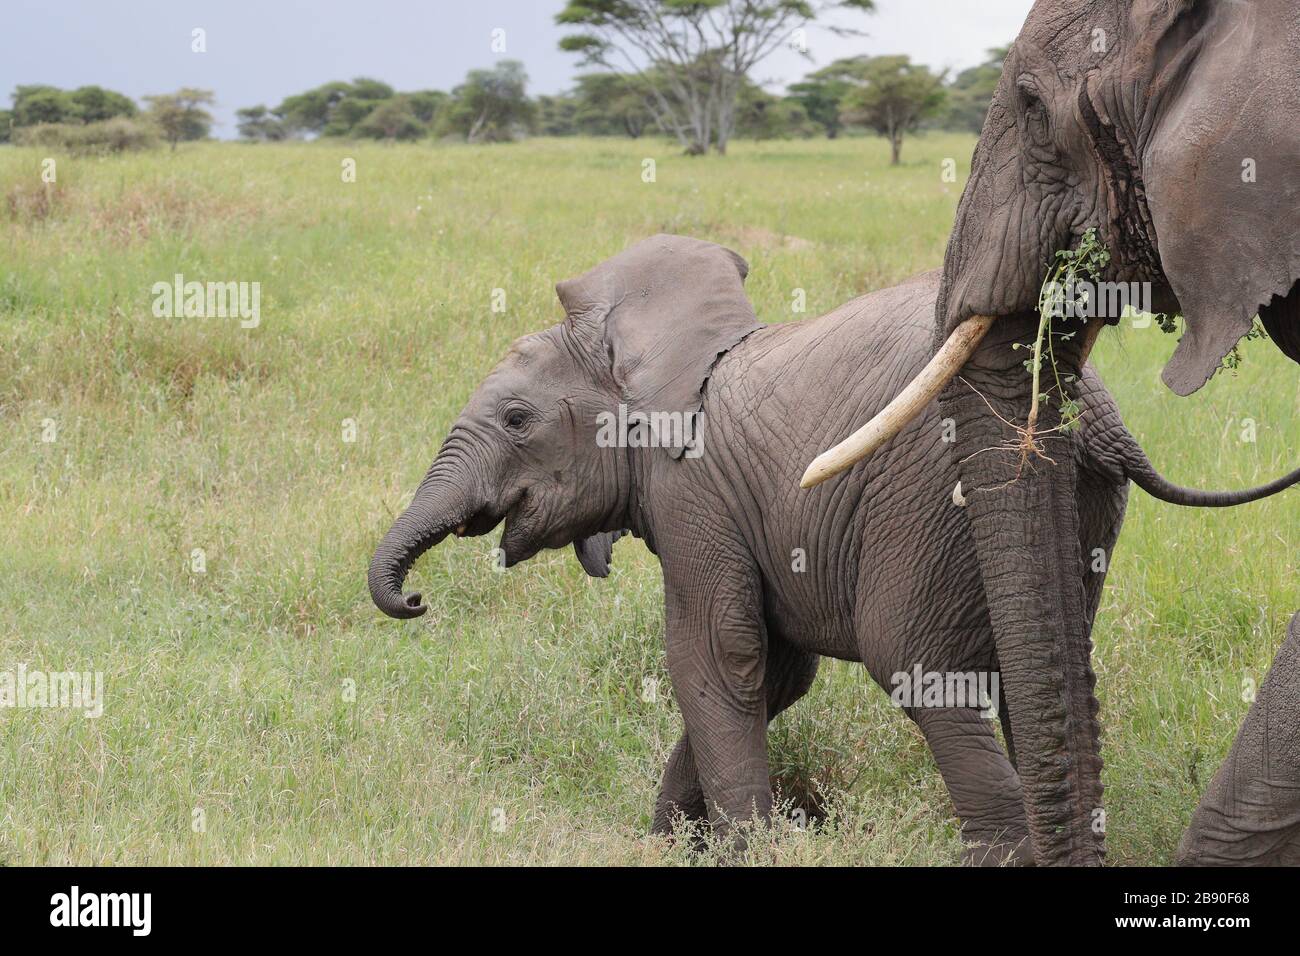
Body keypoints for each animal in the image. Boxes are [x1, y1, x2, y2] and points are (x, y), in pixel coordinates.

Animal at [369, 235, 1300, 863]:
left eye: (517, 420)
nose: (413, 599)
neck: (639, 352)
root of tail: (1098, 410)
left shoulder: (693, 495)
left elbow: (717, 658)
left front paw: (738, 851)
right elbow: (773, 675)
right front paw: (669, 845)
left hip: (924, 500)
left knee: (919, 667)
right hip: (1078, 506)